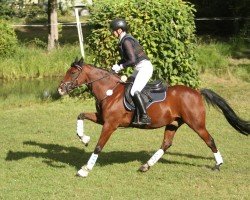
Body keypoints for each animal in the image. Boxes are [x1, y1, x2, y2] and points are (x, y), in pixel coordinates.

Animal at [57, 57, 249, 178]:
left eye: (72, 73)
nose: (60, 89)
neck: (110, 91)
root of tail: (196, 91)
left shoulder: (110, 124)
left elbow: (98, 146)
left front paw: (85, 170)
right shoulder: (102, 119)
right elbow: (81, 115)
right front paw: (84, 138)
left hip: (196, 124)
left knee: (209, 140)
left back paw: (218, 164)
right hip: (173, 123)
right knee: (166, 144)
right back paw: (146, 165)